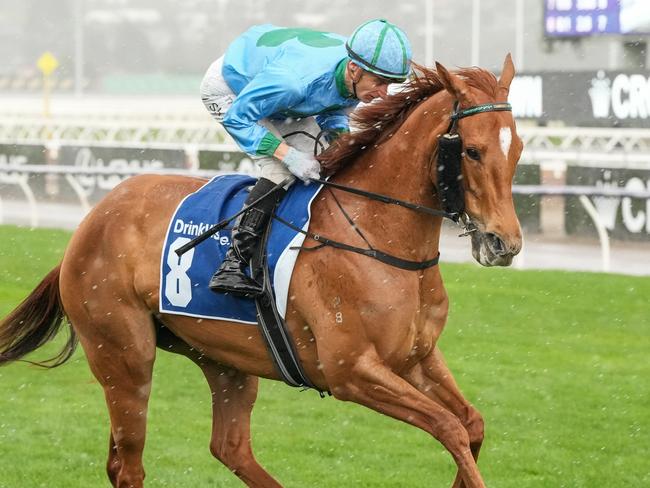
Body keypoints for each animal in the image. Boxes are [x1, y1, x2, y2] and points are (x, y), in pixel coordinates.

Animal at [0, 55, 520, 486]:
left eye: (516, 150)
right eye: (472, 151)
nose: (506, 243)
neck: (377, 236)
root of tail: (89, 223)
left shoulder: (415, 357)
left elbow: (472, 424)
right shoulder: (352, 371)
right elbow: (450, 428)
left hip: (221, 357)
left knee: (228, 448)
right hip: (124, 356)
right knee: (129, 464)